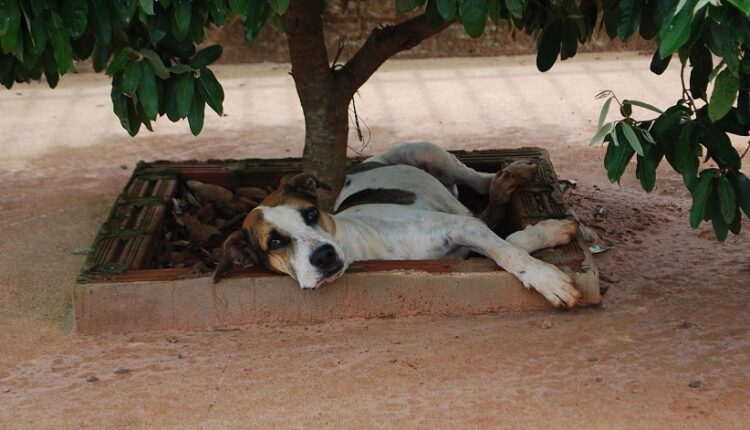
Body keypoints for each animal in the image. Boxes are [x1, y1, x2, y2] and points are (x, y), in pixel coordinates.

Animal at [214, 143, 584, 308]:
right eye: (274, 242)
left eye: (310, 213)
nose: (323, 257)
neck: (361, 244)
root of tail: (363, 164)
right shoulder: (465, 235)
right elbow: (507, 244)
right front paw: (545, 241)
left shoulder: (460, 227)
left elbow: (512, 253)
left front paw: (548, 277)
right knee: (486, 205)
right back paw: (505, 188)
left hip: (426, 150)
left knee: (479, 179)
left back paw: (512, 173)